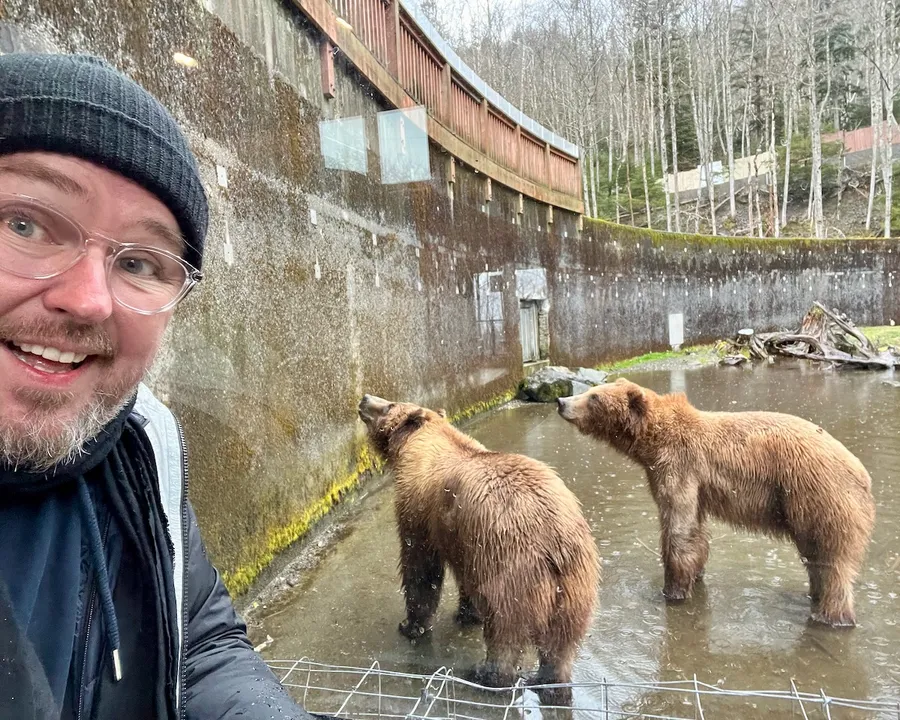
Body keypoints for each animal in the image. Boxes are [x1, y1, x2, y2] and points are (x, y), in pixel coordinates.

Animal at [358, 394, 600, 705]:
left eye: (388, 405)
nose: (365, 398)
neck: (420, 446)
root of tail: (554, 542)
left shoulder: (421, 511)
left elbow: (421, 568)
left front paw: (411, 625)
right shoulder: (467, 540)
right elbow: (465, 577)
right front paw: (467, 613)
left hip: (516, 571)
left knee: (506, 628)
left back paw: (486, 674)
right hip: (576, 584)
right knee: (562, 642)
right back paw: (550, 684)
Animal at [556, 378, 875, 628]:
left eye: (594, 397)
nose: (561, 401)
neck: (652, 443)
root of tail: (862, 474)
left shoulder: (680, 466)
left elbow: (678, 529)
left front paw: (672, 590)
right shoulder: (693, 483)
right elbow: (695, 530)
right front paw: (695, 576)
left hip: (818, 496)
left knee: (831, 561)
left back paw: (830, 616)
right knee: (817, 559)